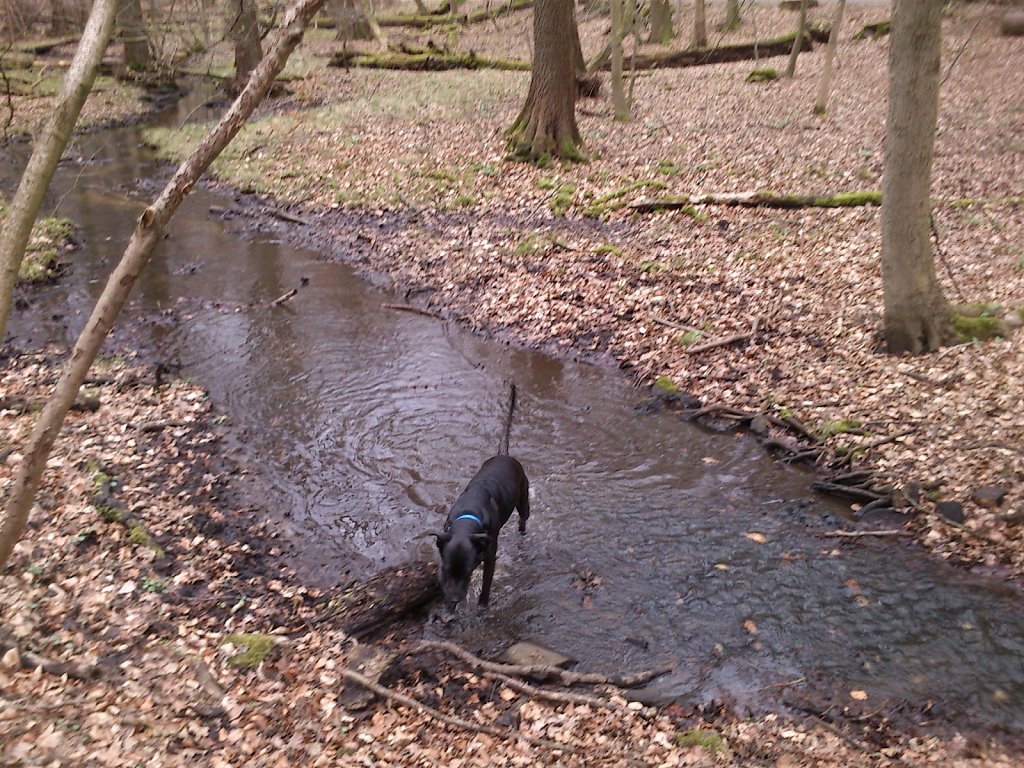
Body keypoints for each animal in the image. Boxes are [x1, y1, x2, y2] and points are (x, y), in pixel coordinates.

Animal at [432, 387, 528, 610]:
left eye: (469, 572)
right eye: (447, 570)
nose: (455, 599)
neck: (468, 516)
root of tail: (505, 455)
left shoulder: (490, 557)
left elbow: (486, 584)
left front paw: (482, 607)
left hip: (523, 499)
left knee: (523, 518)